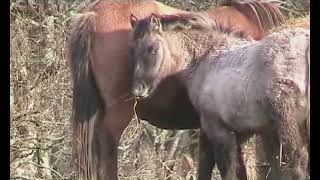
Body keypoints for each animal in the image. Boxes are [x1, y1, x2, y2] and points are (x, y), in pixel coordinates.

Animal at [129, 13, 310, 179]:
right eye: (133, 50)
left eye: (153, 49)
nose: (137, 90)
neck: (207, 56)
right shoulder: (257, 132)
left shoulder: (217, 128)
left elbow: (225, 169)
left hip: (289, 124)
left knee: (299, 165)